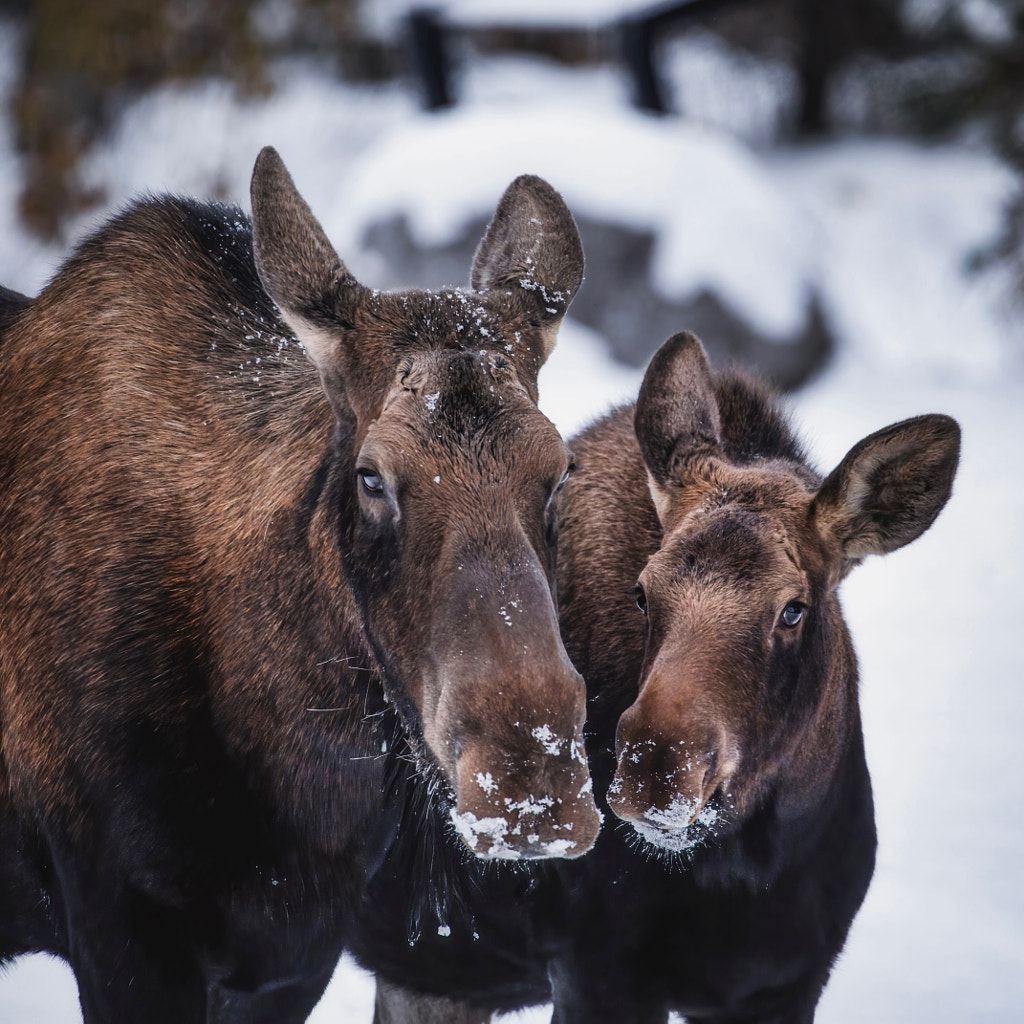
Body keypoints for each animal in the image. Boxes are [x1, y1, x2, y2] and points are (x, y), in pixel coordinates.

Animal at [352, 331, 958, 1019]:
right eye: (643, 593)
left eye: (794, 608)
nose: (656, 771)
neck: (749, 867)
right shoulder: (597, 970)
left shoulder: (789, 981)